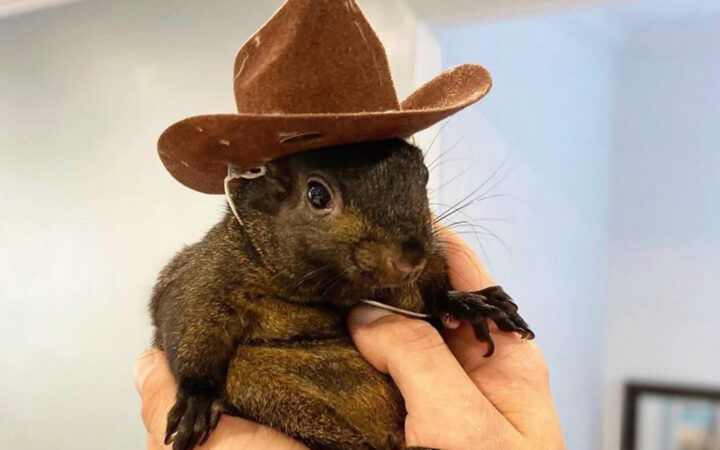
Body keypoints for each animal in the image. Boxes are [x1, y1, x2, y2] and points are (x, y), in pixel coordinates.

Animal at [150, 138, 534, 450]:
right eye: (317, 194)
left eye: (423, 175)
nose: (411, 259)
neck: (329, 290)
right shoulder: (209, 274)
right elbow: (189, 318)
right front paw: (196, 398)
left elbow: (435, 293)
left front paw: (470, 302)